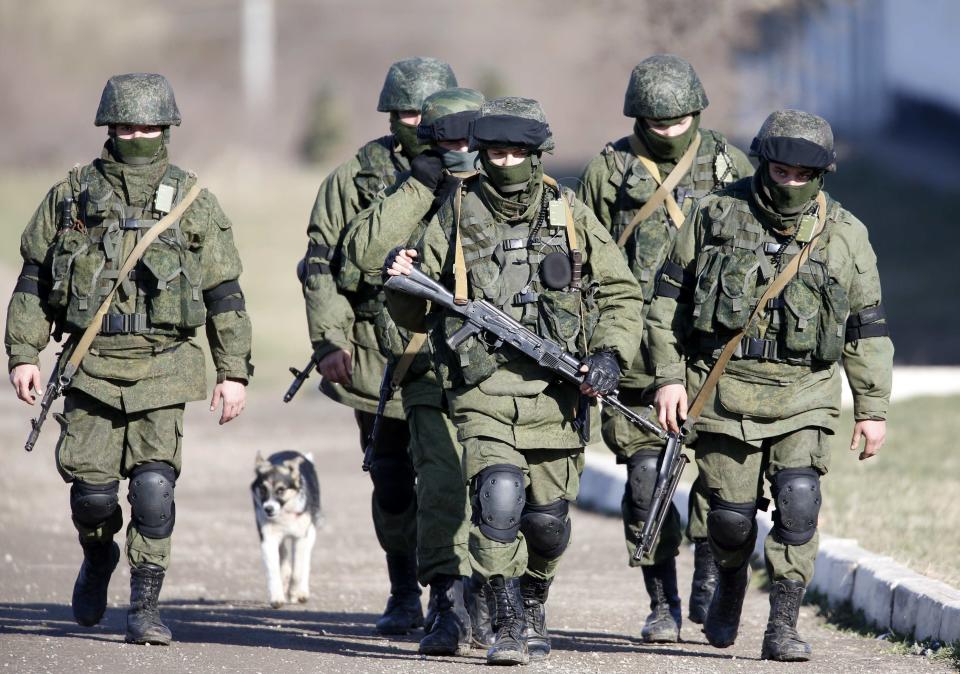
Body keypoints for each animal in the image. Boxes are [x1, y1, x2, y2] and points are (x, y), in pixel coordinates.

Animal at [251, 448, 322, 608]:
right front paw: (277, 598)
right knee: (283, 557)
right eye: (263, 489)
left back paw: (301, 592)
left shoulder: (301, 537)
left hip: (311, 533)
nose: (268, 509)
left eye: (281, 490)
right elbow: (273, 570)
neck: (284, 513)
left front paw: (294, 592)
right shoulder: (268, 539)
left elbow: (298, 570)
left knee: (304, 561)